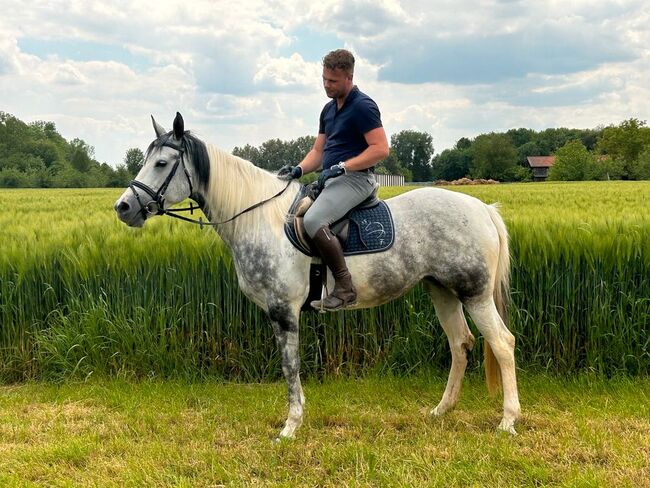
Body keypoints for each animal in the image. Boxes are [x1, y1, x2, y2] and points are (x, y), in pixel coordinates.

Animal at [114, 113, 520, 438]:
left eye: (162, 163)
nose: (123, 207)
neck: (259, 219)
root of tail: (483, 209)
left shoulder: (283, 311)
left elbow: (290, 366)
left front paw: (290, 426)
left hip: (475, 294)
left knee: (502, 343)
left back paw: (507, 421)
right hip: (442, 292)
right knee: (460, 344)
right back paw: (441, 410)